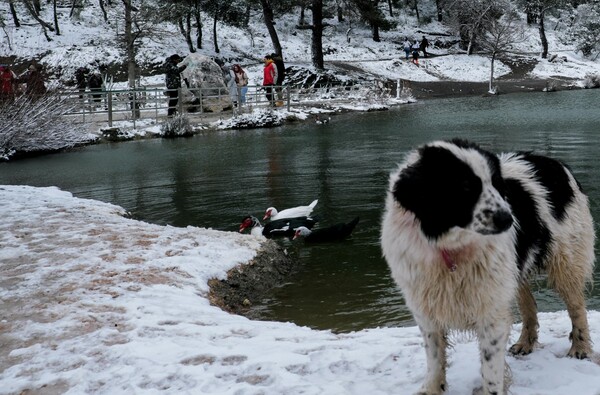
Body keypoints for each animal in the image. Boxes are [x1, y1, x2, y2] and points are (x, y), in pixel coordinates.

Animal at [382, 140, 592, 395]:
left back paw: (581, 348)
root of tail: (553, 162)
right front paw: (432, 388)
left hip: (566, 261)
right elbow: (434, 356)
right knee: (529, 304)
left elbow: (491, 368)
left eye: (495, 184)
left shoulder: (490, 310)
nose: (508, 219)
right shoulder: (426, 308)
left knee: (577, 306)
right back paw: (525, 342)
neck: (449, 247)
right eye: (465, 187)